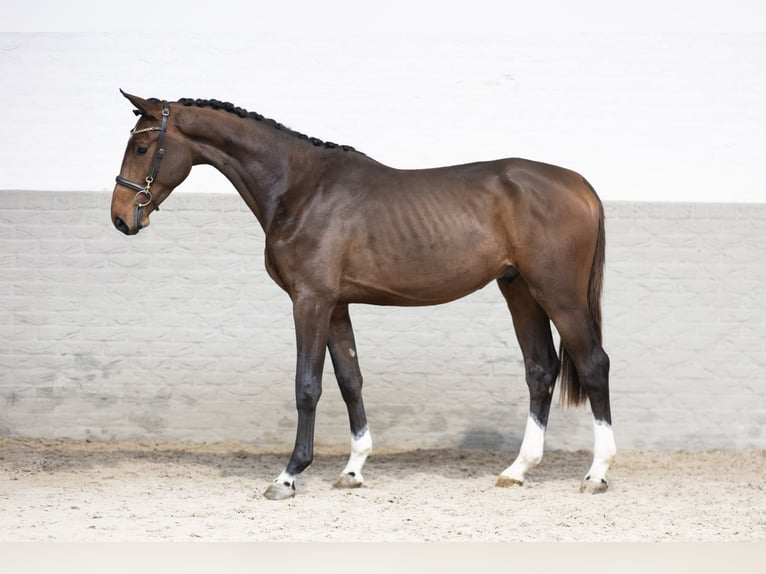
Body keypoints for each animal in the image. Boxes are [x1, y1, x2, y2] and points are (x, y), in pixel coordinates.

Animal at [112, 92, 616, 502]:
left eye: (142, 147)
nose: (120, 218)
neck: (299, 188)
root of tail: (581, 185)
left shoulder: (310, 301)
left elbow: (307, 386)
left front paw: (288, 476)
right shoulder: (336, 306)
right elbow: (350, 380)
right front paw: (353, 471)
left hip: (560, 295)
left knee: (593, 365)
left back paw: (596, 474)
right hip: (520, 290)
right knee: (540, 370)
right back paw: (517, 470)